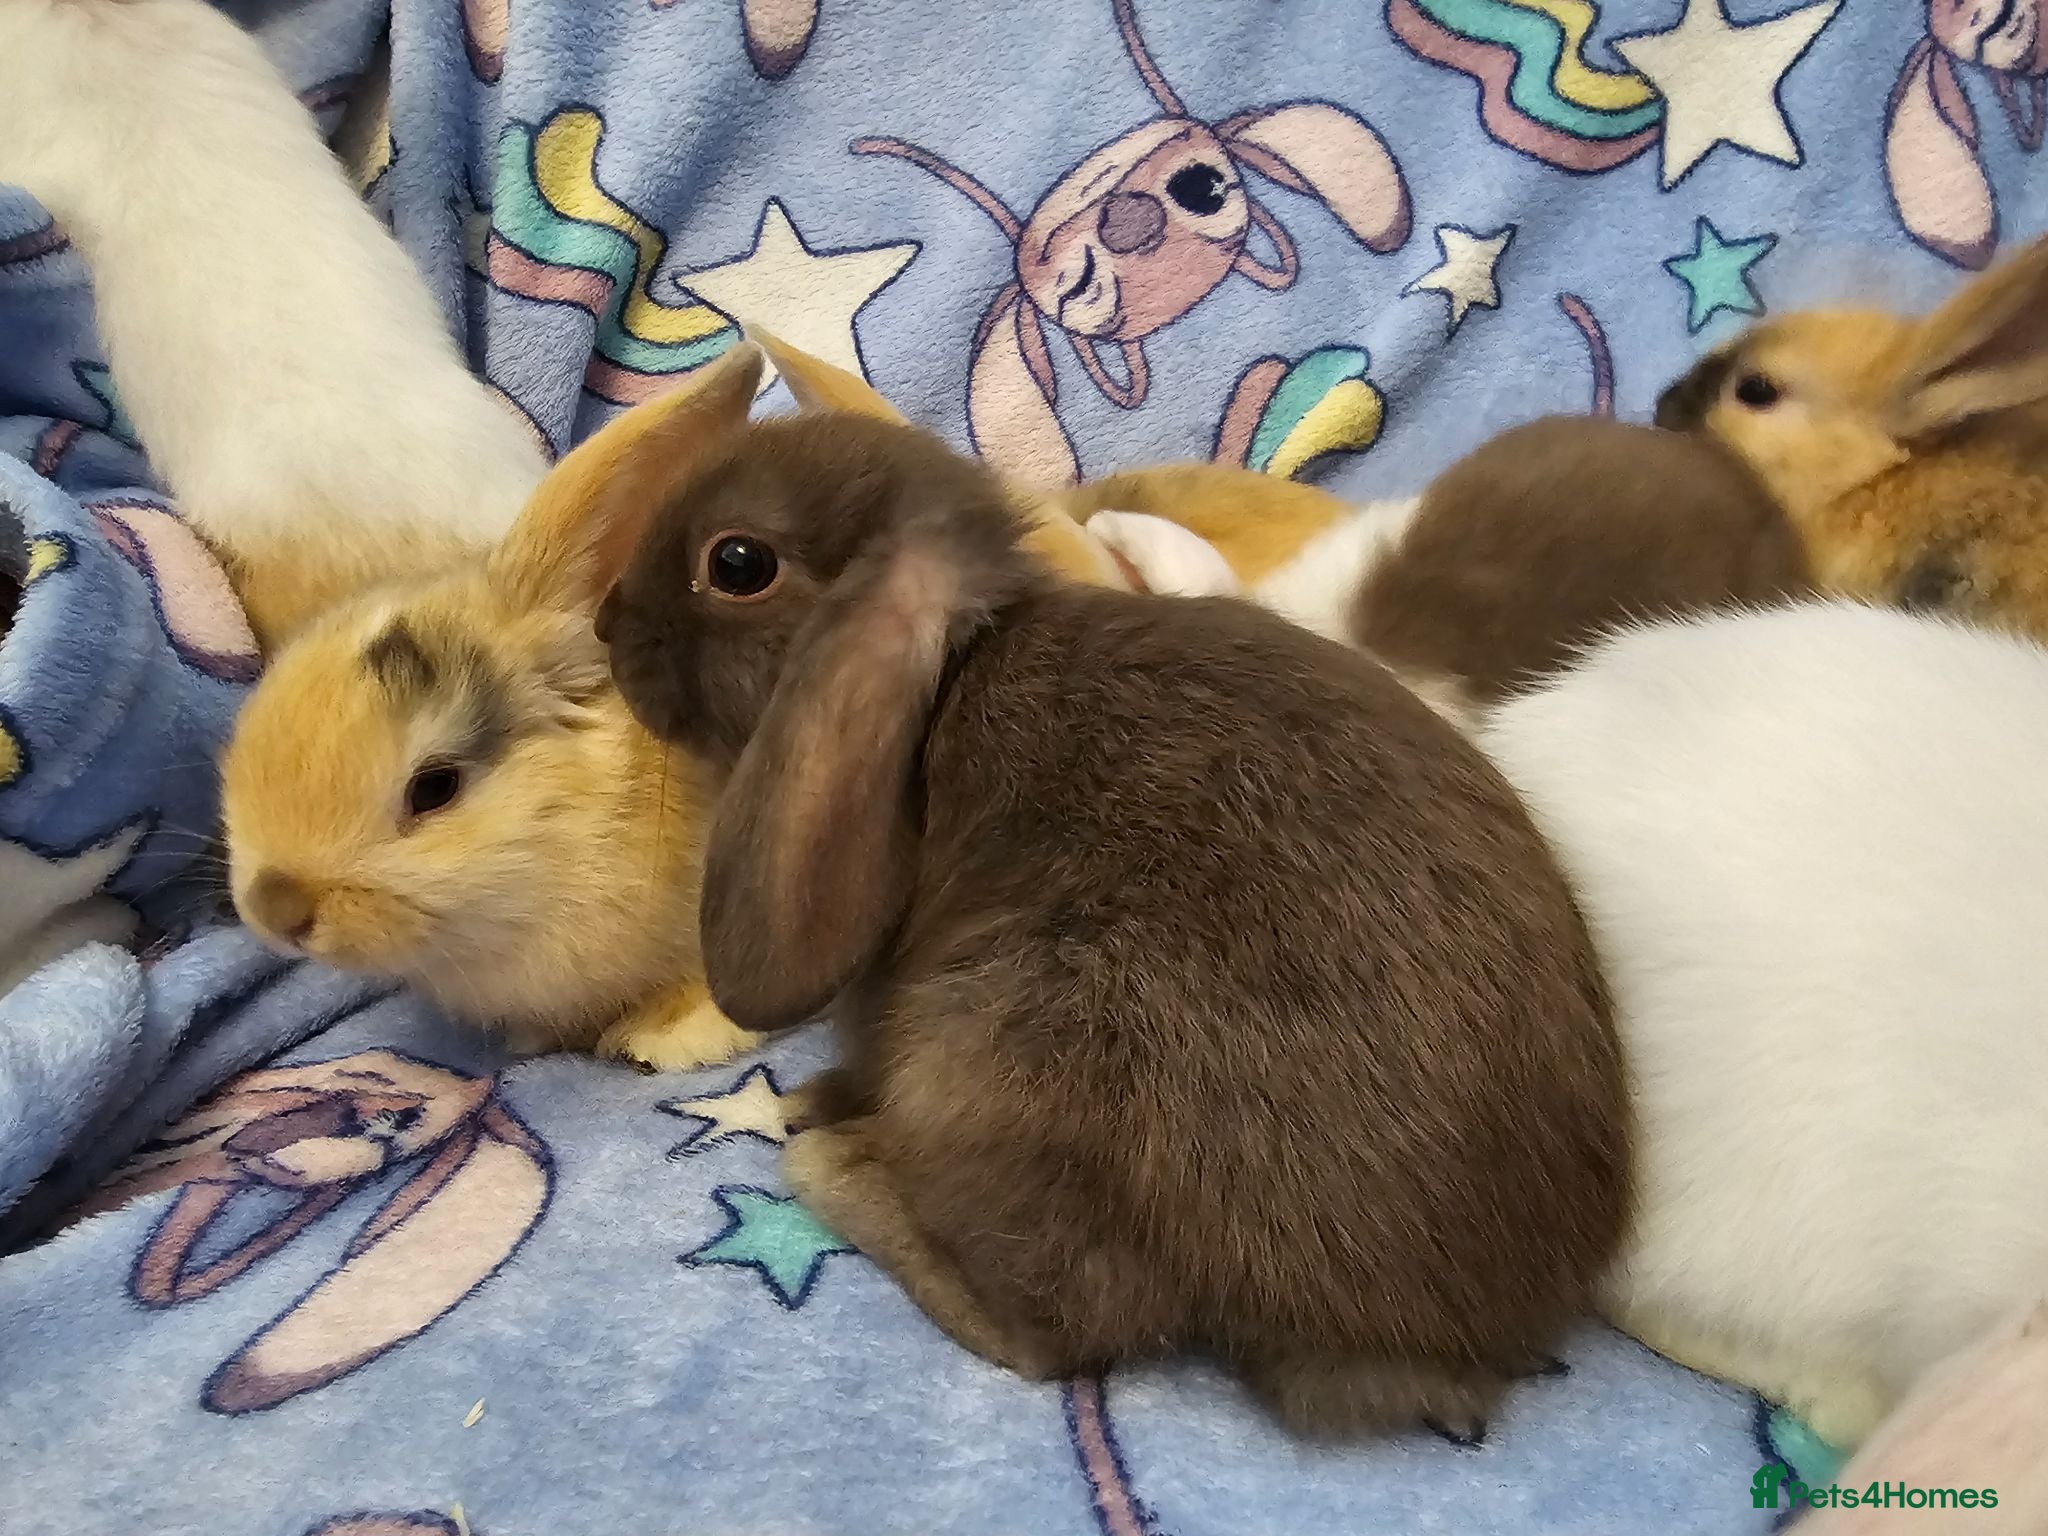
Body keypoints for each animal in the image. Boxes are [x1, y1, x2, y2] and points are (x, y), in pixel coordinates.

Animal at [596, 401, 1630, 1439]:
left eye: (737, 563)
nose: (606, 621)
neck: (949, 683)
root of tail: (1430, 1346)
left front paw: (817, 1107)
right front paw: (818, 1093)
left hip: (1014, 1031)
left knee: (1062, 1326)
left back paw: (836, 1168)